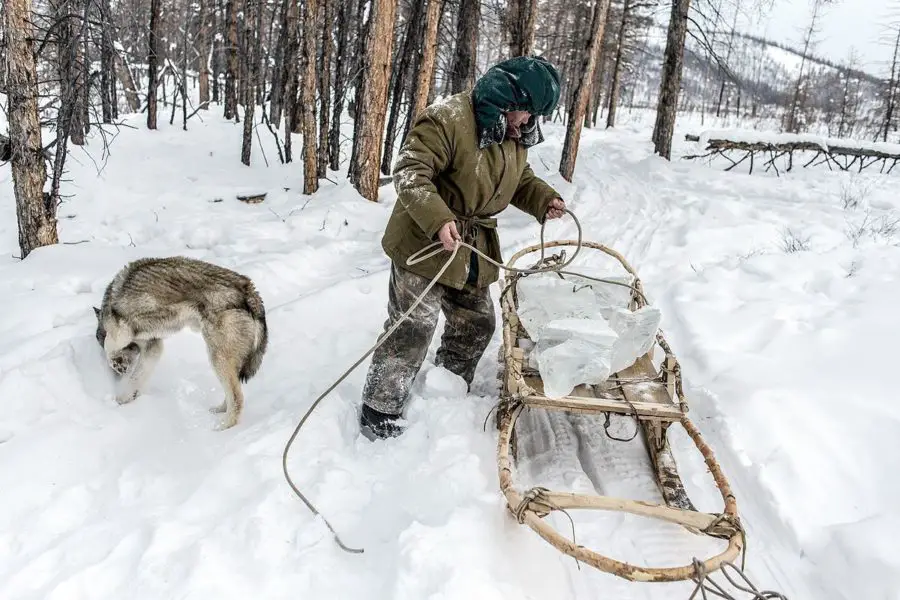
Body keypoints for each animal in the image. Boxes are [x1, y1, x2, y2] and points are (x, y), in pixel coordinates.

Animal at [96, 255, 270, 428]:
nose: (118, 373)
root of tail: (249, 290)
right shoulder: (153, 347)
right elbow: (137, 376)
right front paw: (126, 398)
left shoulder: (120, 332)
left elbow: (109, 348)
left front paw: (118, 367)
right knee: (232, 393)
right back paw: (219, 411)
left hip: (218, 358)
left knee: (237, 397)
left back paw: (223, 427)